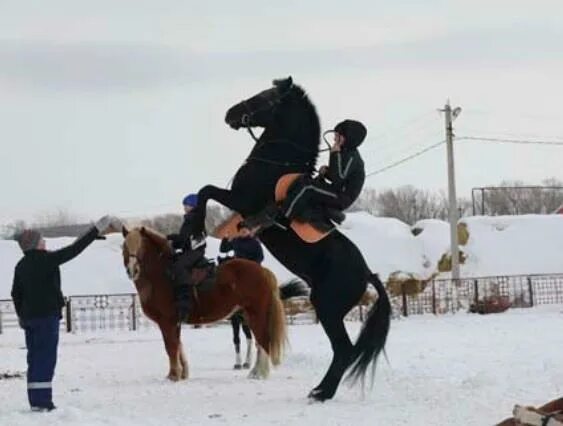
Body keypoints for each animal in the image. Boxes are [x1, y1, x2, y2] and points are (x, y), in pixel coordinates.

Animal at [120, 228, 286, 382]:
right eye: (125, 247)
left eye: (141, 246)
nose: (132, 270)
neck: (162, 275)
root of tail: (263, 271)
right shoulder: (175, 322)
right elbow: (178, 345)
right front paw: (183, 373)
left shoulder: (167, 322)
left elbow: (171, 347)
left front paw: (173, 375)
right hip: (248, 315)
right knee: (259, 341)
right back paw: (255, 371)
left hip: (256, 313)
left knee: (263, 340)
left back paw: (260, 373)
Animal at [192, 77, 390, 402]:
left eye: (265, 98)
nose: (231, 114)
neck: (276, 163)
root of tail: (367, 274)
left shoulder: (241, 200)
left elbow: (205, 190)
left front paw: (195, 229)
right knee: (343, 352)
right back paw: (320, 389)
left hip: (327, 307)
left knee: (344, 350)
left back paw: (322, 393)